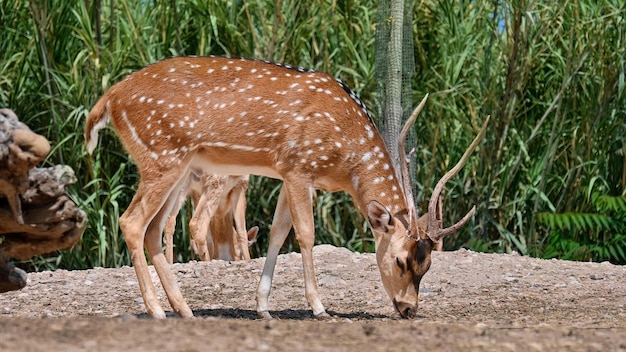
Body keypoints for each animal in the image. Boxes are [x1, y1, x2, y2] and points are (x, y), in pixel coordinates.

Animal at [84, 55, 488, 320]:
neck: (345, 161)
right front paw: (320, 308)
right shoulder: (300, 167)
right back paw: (156, 310)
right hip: (162, 158)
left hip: (176, 167)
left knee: (153, 229)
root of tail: (107, 101)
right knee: (132, 222)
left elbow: (277, 233)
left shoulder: (284, 172)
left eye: (429, 265)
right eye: (401, 260)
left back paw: (183, 310)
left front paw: (263, 307)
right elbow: (305, 234)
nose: (408, 309)